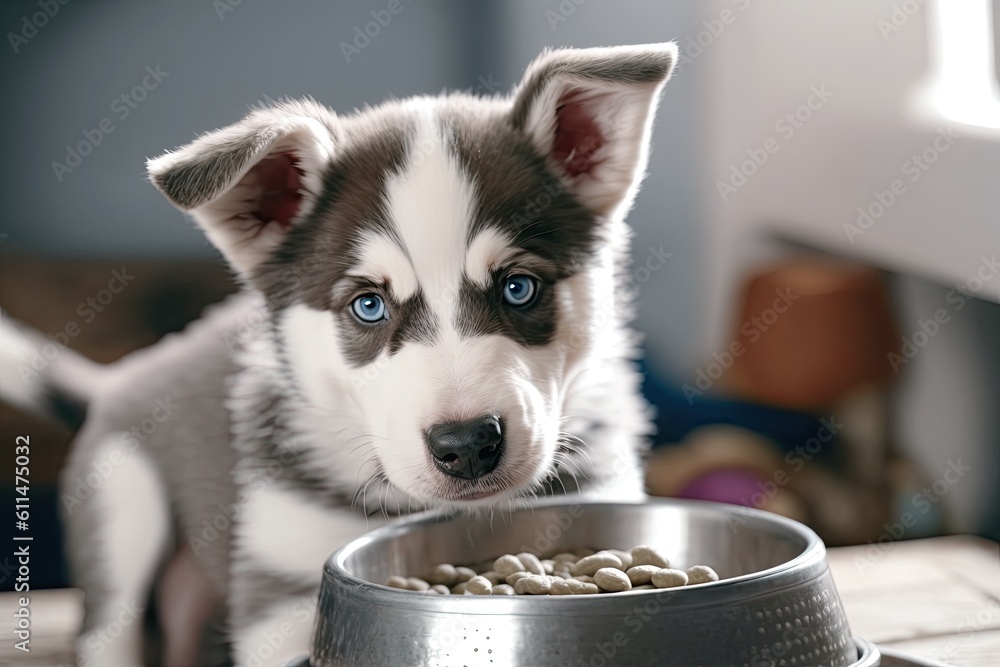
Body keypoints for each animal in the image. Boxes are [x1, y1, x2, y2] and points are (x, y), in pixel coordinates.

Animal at [0, 44, 680, 664]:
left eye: (519, 287)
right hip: (123, 504)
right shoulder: (276, 593)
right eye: (368, 306)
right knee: (111, 627)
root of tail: (120, 378)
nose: (467, 446)